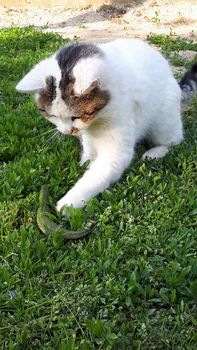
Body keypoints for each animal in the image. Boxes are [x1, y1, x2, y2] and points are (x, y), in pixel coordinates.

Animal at [15, 38, 197, 209]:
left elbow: (95, 177)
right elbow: (88, 151)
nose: (68, 131)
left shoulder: (115, 152)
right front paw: (85, 163)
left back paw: (154, 153)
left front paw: (69, 203)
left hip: (163, 123)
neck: (97, 120)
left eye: (76, 116)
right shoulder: (88, 134)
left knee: (174, 140)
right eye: (52, 115)